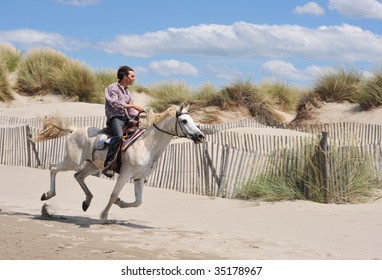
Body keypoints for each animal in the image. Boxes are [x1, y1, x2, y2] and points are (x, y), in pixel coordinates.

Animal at [34, 105, 204, 223]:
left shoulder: (139, 178)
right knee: (53, 168)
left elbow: (138, 202)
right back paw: (48, 194)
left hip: (92, 165)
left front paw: (119, 203)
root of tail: (73, 130)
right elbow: (113, 194)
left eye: (193, 120)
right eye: (184, 121)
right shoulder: (125, 175)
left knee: (78, 176)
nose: (200, 136)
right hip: (71, 161)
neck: (147, 145)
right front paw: (104, 216)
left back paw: (87, 201)